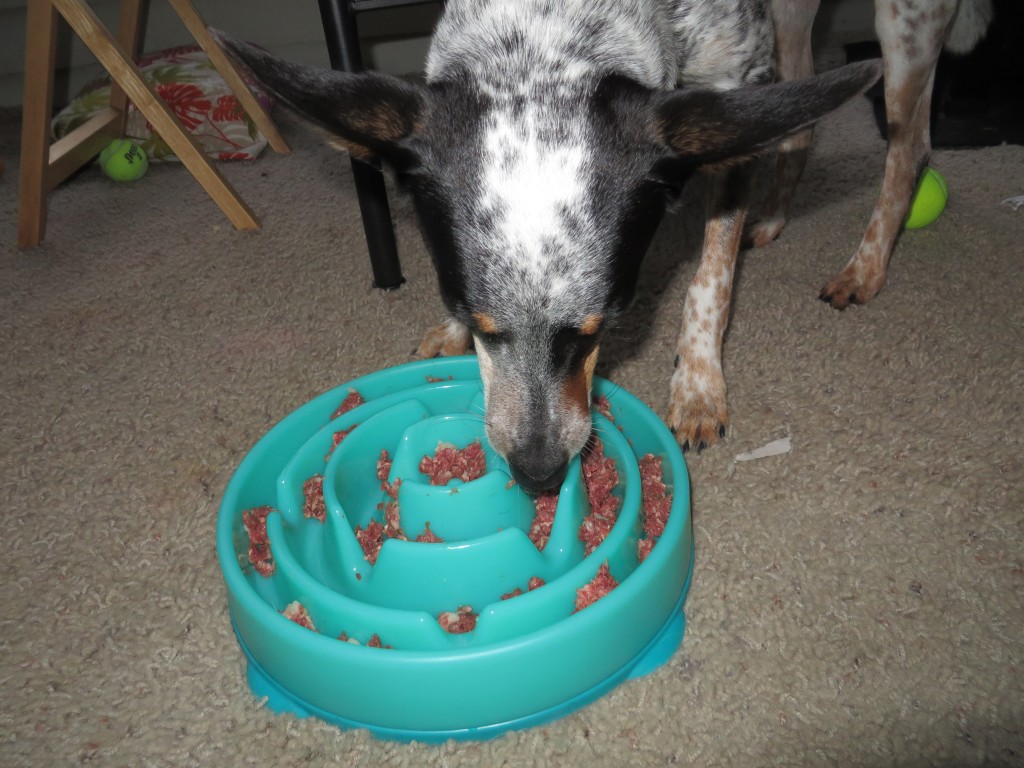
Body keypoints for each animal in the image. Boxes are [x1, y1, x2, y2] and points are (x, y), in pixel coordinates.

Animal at [218, 0, 880, 493]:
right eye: (478, 324)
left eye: (599, 330)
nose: (539, 476)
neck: (545, 34)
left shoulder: (733, 98)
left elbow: (712, 275)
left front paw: (697, 381)